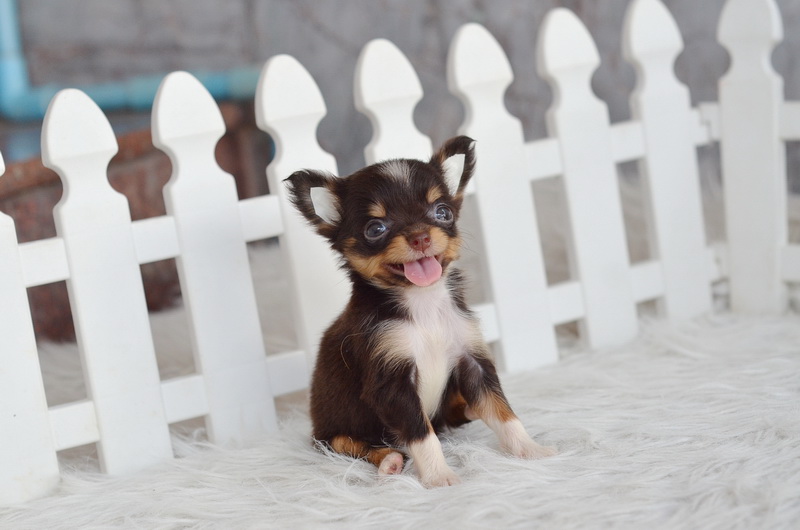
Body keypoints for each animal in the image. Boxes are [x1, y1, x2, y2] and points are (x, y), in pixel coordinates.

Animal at [285, 136, 555, 487]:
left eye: (442, 212)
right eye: (375, 228)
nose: (421, 237)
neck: (423, 301)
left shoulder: (472, 360)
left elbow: (504, 413)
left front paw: (530, 450)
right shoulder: (392, 381)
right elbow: (422, 434)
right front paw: (440, 477)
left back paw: (468, 409)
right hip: (329, 437)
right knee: (353, 444)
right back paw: (389, 461)